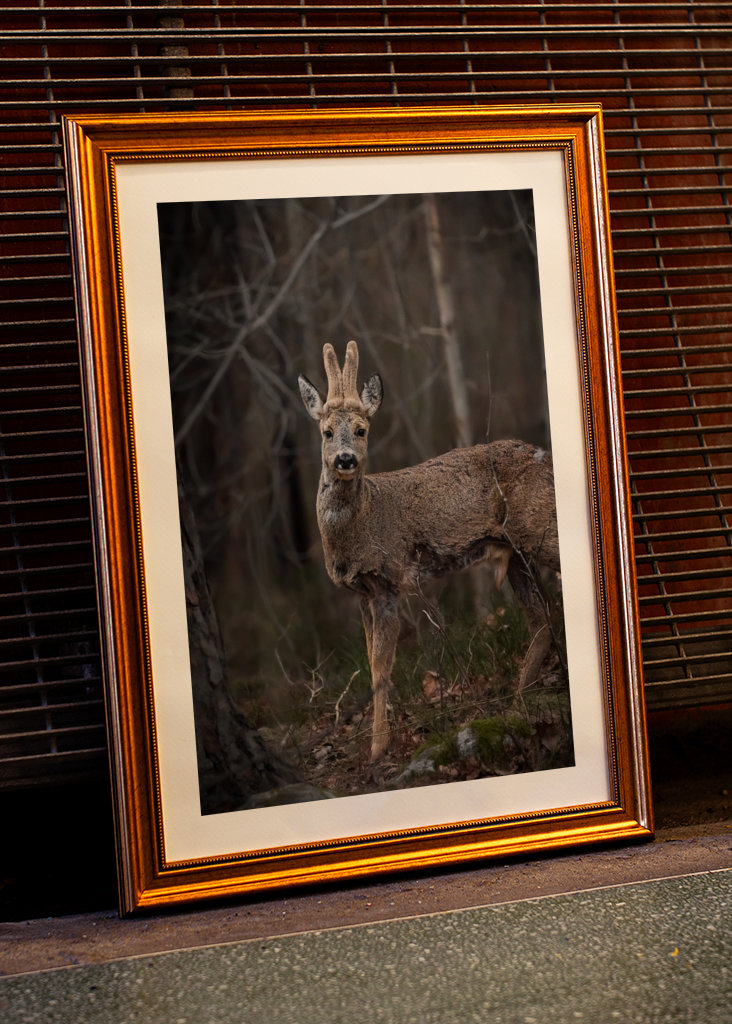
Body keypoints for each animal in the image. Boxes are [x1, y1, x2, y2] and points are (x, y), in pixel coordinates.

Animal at [298, 341, 561, 762]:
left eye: (361, 429)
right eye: (326, 432)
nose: (345, 459)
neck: (363, 520)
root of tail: (545, 456)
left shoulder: (389, 581)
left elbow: (380, 666)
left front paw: (378, 747)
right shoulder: (361, 593)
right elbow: (371, 660)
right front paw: (378, 740)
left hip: (540, 528)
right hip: (517, 554)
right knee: (542, 619)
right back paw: (519, 702)